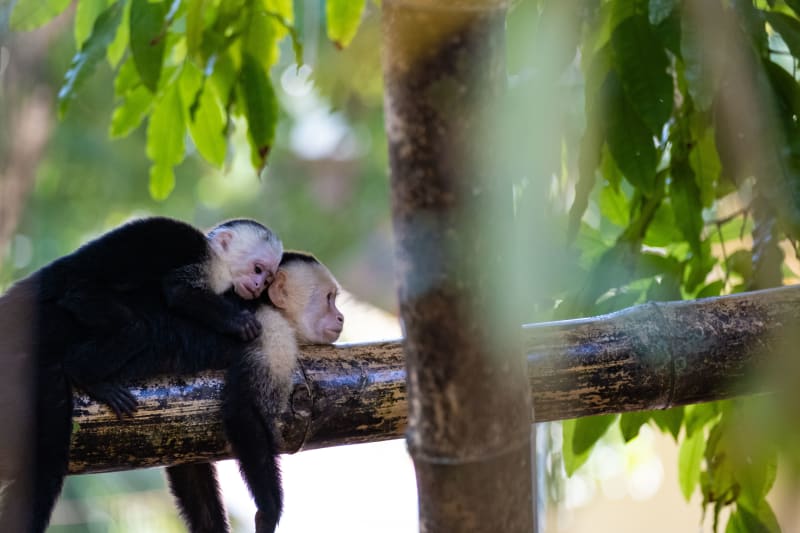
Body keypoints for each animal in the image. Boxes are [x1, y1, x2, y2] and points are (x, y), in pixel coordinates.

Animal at [0, 216, 284, 533]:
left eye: (268, 278)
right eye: (258, 269)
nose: (259, 285)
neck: (218, 260)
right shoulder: (202, 260)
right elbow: (179, 290)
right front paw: (238, 322)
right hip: (77, 298)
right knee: (132, 327)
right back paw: (85, 373)